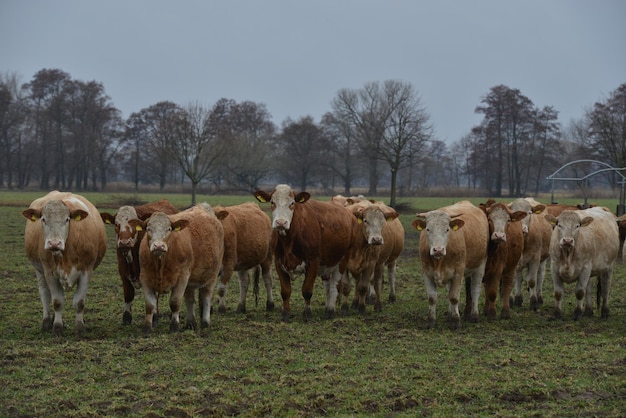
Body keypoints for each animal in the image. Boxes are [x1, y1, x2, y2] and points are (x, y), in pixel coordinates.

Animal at [22, 191, 106, 338]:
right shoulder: (50, 273)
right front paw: (57, 328)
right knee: (45, 295)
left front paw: (79, 329)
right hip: (39, 271)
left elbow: (79, 302)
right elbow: (57, 302)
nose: (54, 244)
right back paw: (46, 323)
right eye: (43, 219)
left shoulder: (86, 272)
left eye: (67, 219)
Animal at [127, 202, 224, 334]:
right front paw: (147, 328)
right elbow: (150, 305)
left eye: (169, 229)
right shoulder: (145, 277)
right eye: (148, 229)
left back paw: (205, 322)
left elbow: (175, 302)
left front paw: (174, 326)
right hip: (191, 280)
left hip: (211, 275)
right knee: (189, 298)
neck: (161, 263)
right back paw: (190, 323)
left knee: (206, 297)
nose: (158, 246)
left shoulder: (182, 277)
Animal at [412, 200, 490, 330]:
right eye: (428, 229)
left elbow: (454, 297)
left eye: (447, 229)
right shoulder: (426, 273)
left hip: (480, 265)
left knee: (475, 290)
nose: (438, 250)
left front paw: (455, 321)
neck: (438, 261)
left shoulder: (458, 272)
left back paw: (474, 315)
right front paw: (431, 321)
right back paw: (449, 314)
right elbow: (432, 298)